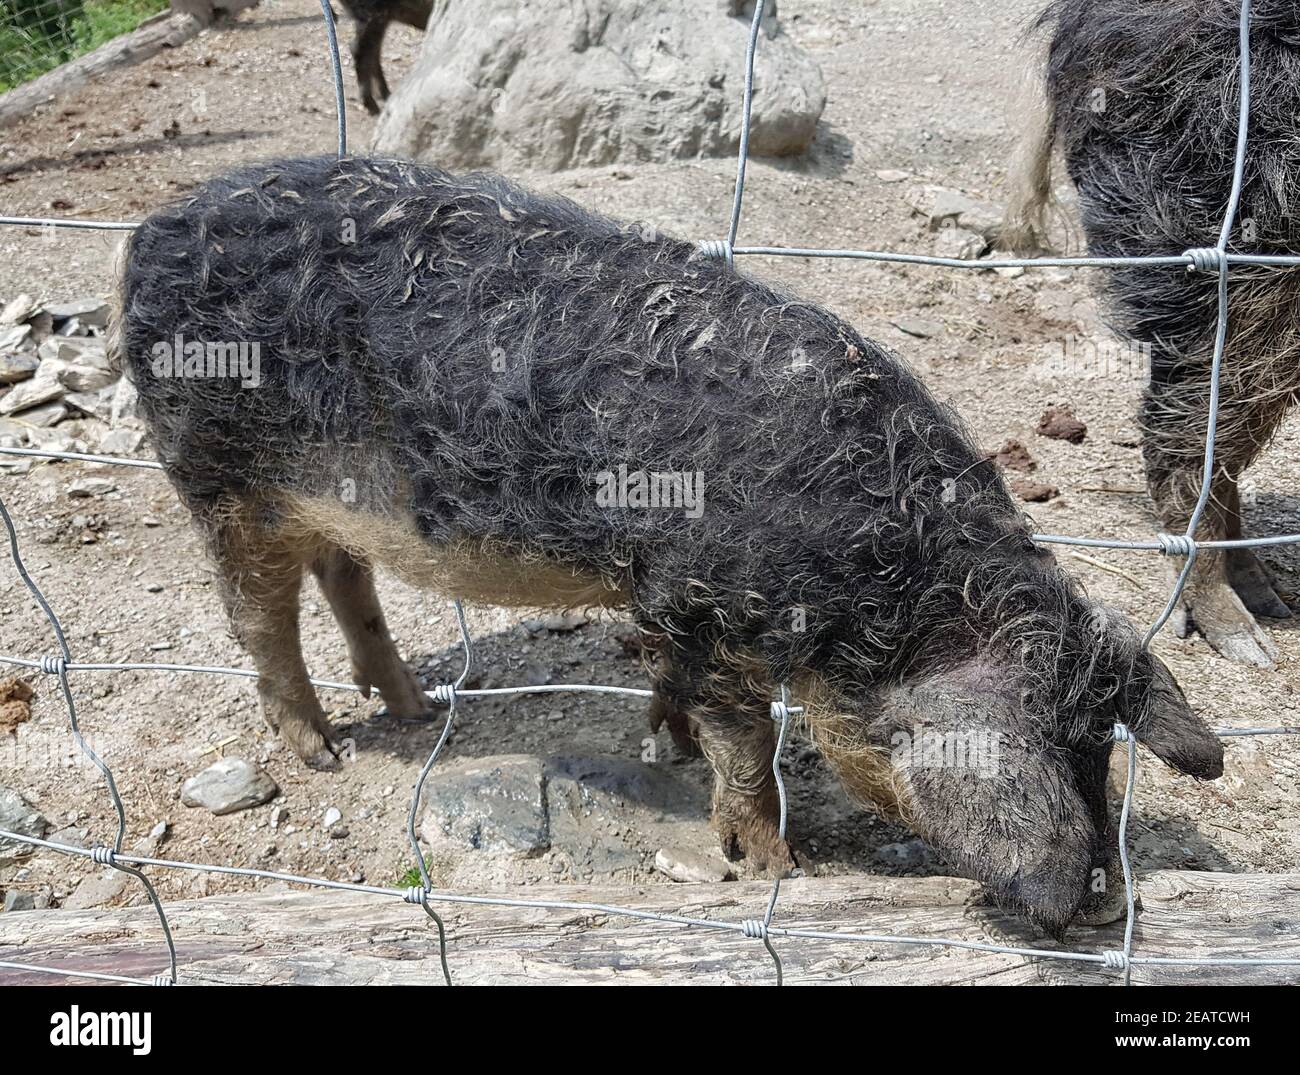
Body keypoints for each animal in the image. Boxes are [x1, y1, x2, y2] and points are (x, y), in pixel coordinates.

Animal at [116, 151, 1222, 935]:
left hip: (323, 500)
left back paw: (415, 707)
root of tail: (148, 232)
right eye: (1057, 757)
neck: (880, 583)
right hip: (215, 471)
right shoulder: (711, 606)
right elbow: (747, 742)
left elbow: (680, 692)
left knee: (342, 575)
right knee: (258, 615)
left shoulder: (670, 604)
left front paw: (669, 738)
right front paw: (770, 864)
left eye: (1102, 751)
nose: (1103, 900)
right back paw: (323, 755)